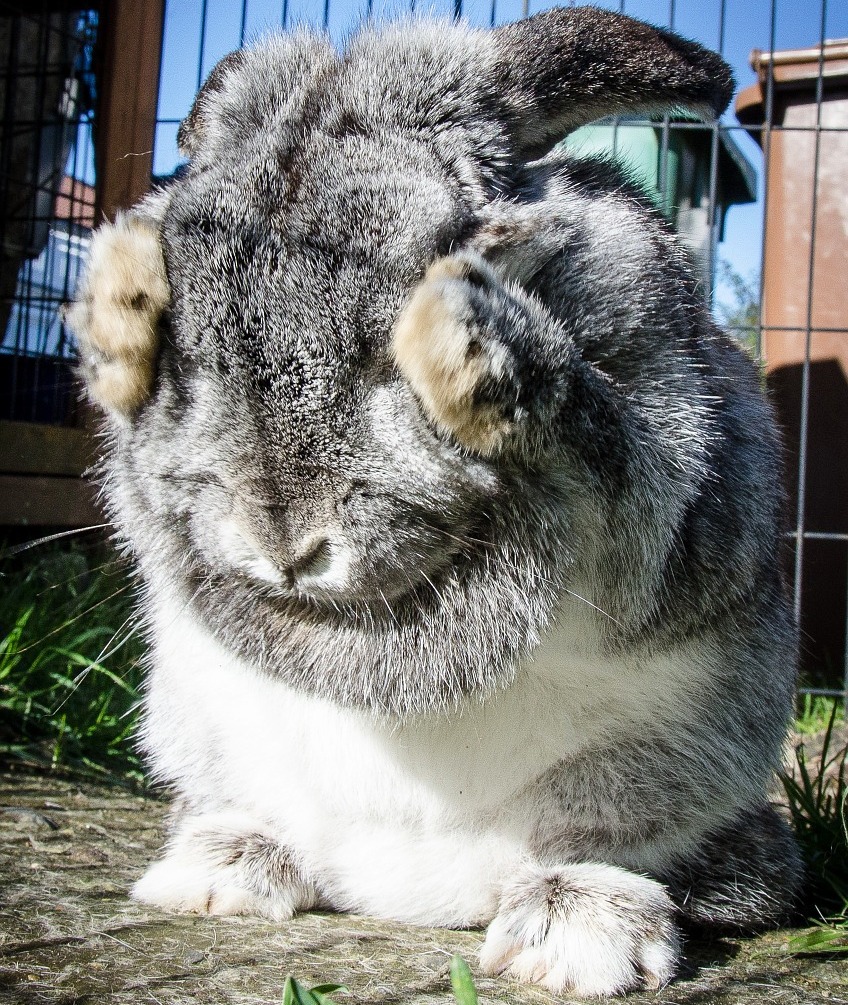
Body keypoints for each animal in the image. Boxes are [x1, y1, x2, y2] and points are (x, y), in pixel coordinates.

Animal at [65, 7, 802, 996]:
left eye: (383, 356)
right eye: (195, 357)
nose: (285, 548)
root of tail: (402, 891)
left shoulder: (678, 468)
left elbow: (602, 436)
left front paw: (461, 333)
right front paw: (121, 292)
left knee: (628, 854)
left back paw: (573, 935)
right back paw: (220, 870)